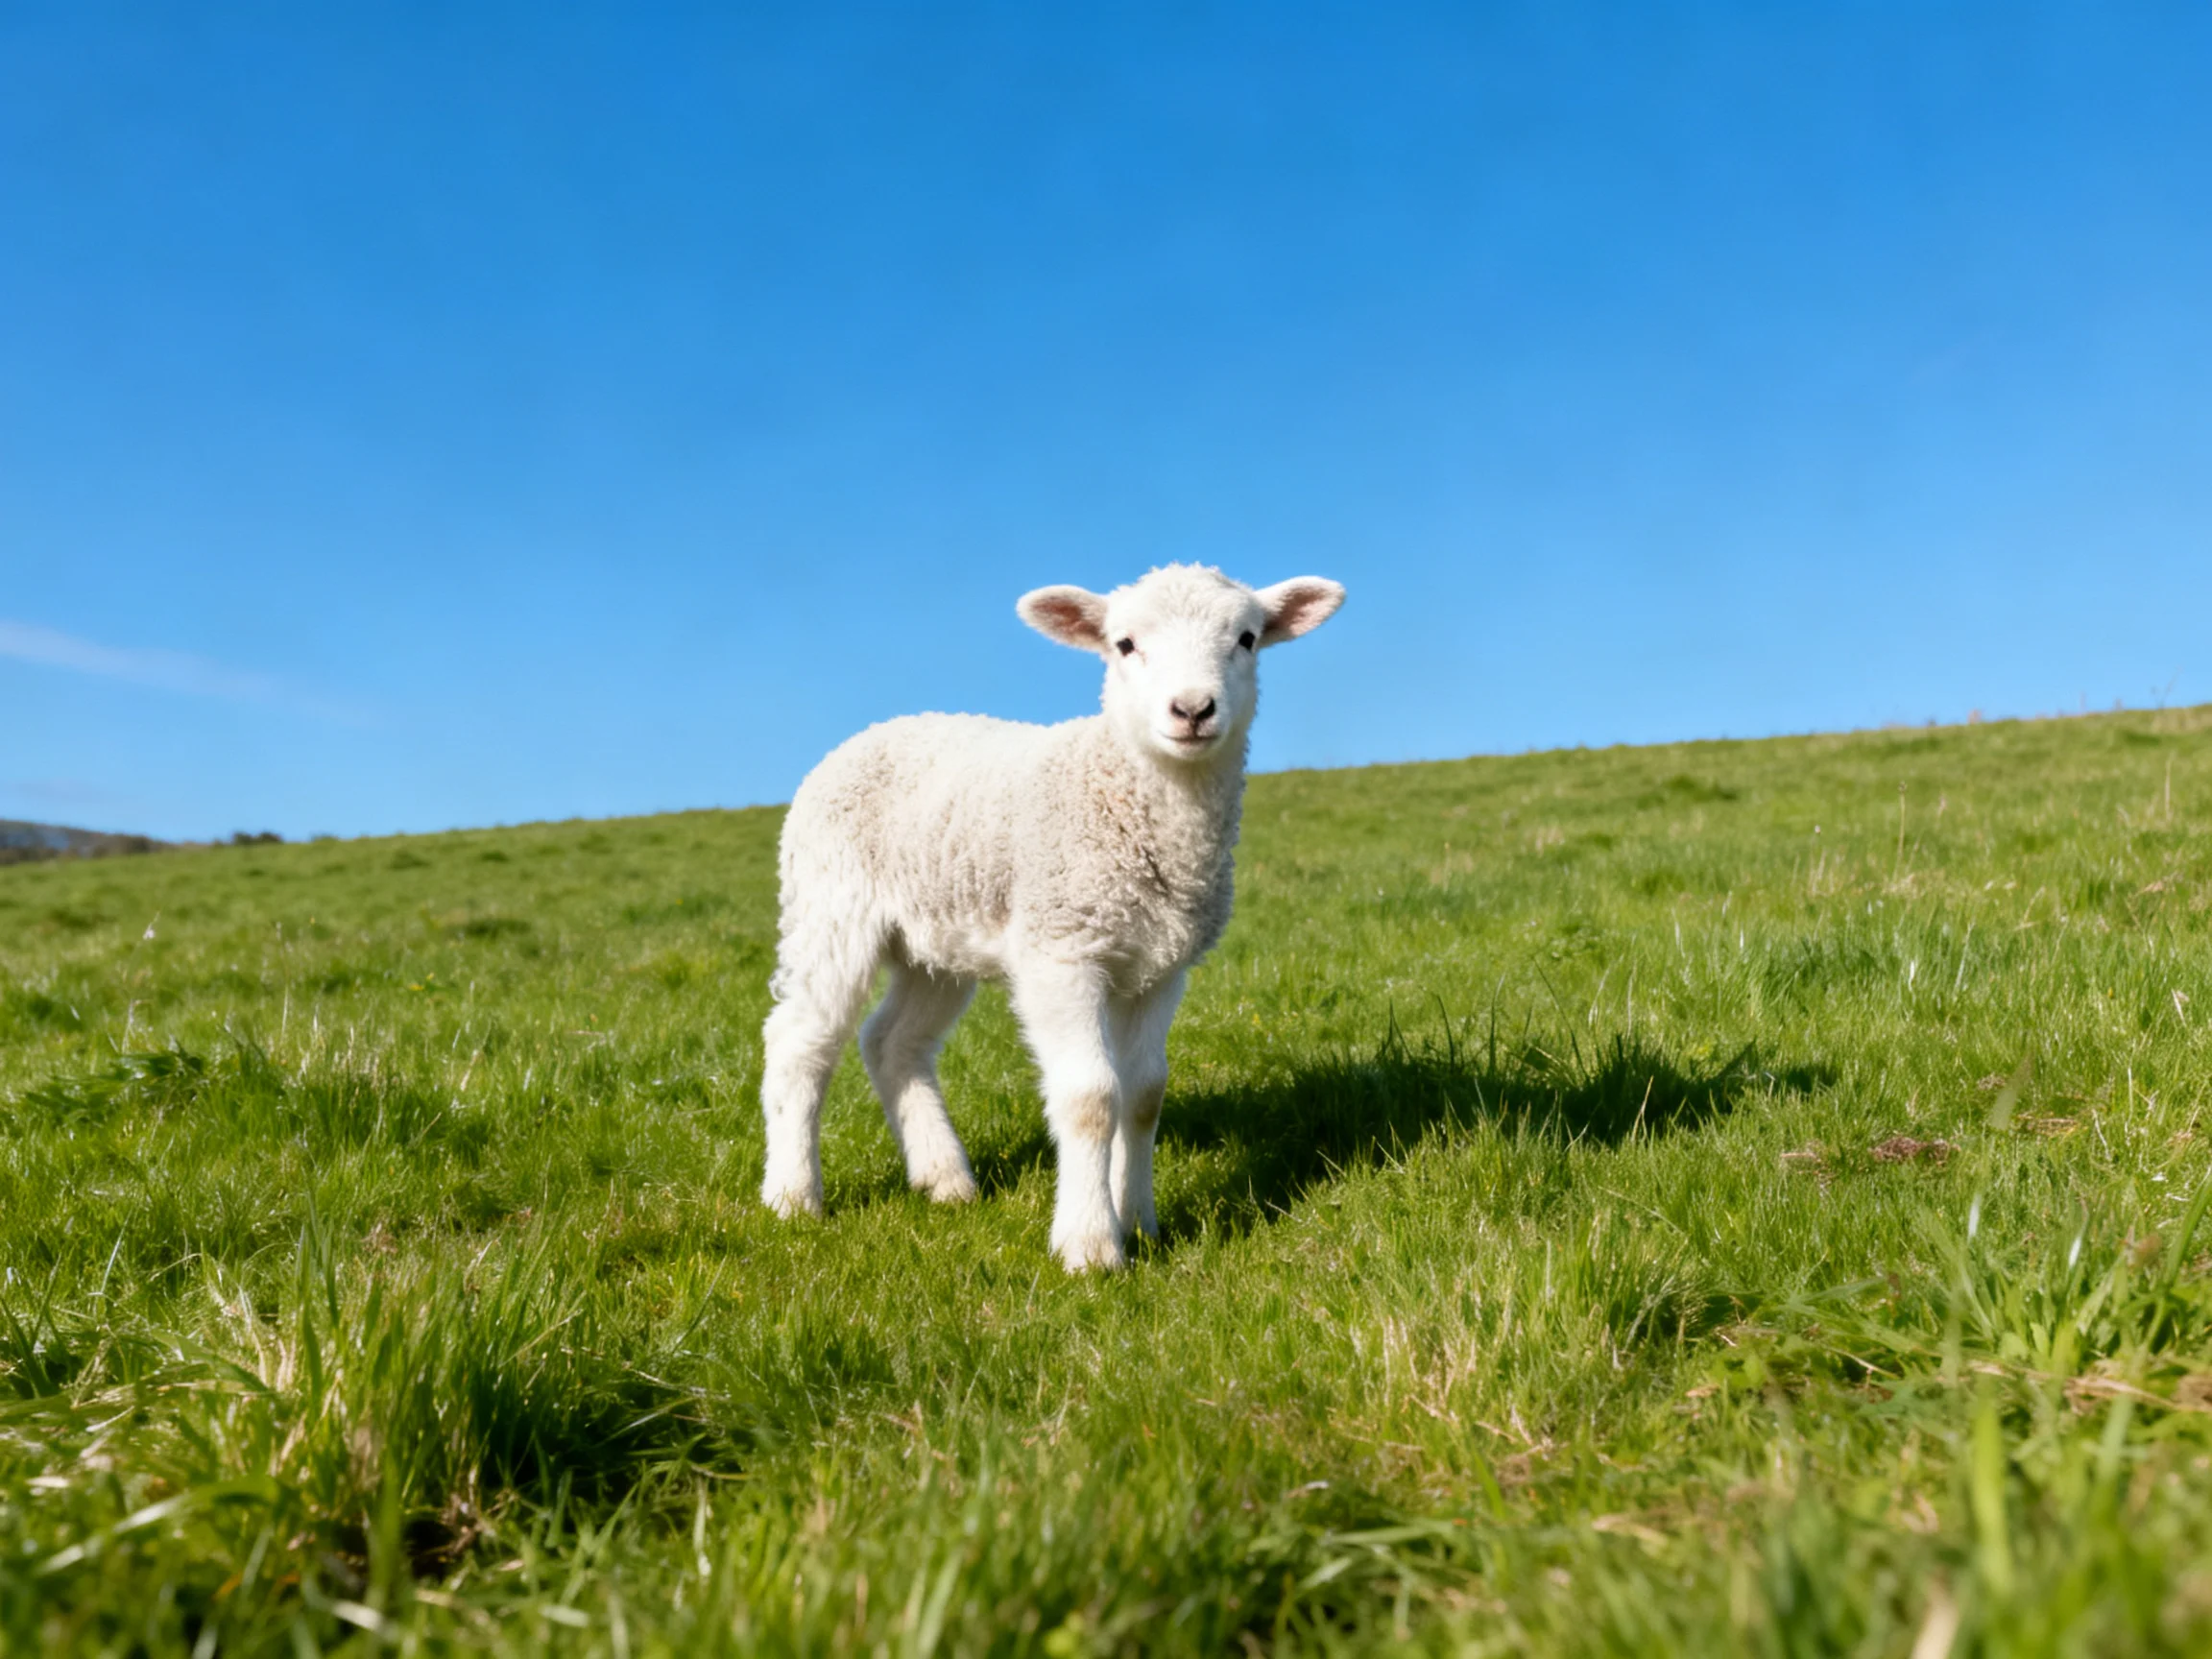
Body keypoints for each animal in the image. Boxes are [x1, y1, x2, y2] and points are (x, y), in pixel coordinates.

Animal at [758, 564, 1345, 1270]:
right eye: (1124, 644)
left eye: (1247, 639)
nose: (1192, 710)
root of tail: (876, 730)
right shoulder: (1062, 951)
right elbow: (1092, 1097)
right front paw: (1090, 1245)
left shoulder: (1161, 967)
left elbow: (1143, 1096)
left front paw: (1140, 1222)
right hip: (827, 905)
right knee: (800, 1041)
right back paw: (793, 1196)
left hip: (936, 940)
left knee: (892, 1041)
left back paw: (944, 1178)